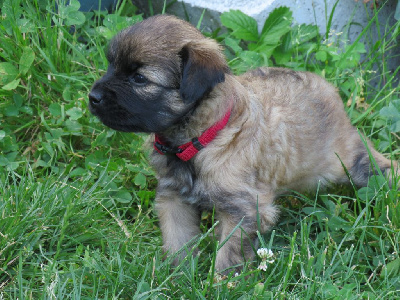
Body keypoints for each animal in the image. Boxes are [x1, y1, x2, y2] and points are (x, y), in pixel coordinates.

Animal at [89, 14, 398, 272]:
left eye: (139, 78)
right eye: (111, 65)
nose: (93, 97)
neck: (202, 139)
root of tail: (328, 90)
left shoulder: (243, 210)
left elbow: (228, 255)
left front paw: (220, 283)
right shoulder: (174, 198)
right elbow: (178, 242)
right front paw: (176, 277)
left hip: (347, 160)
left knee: (377, 166)